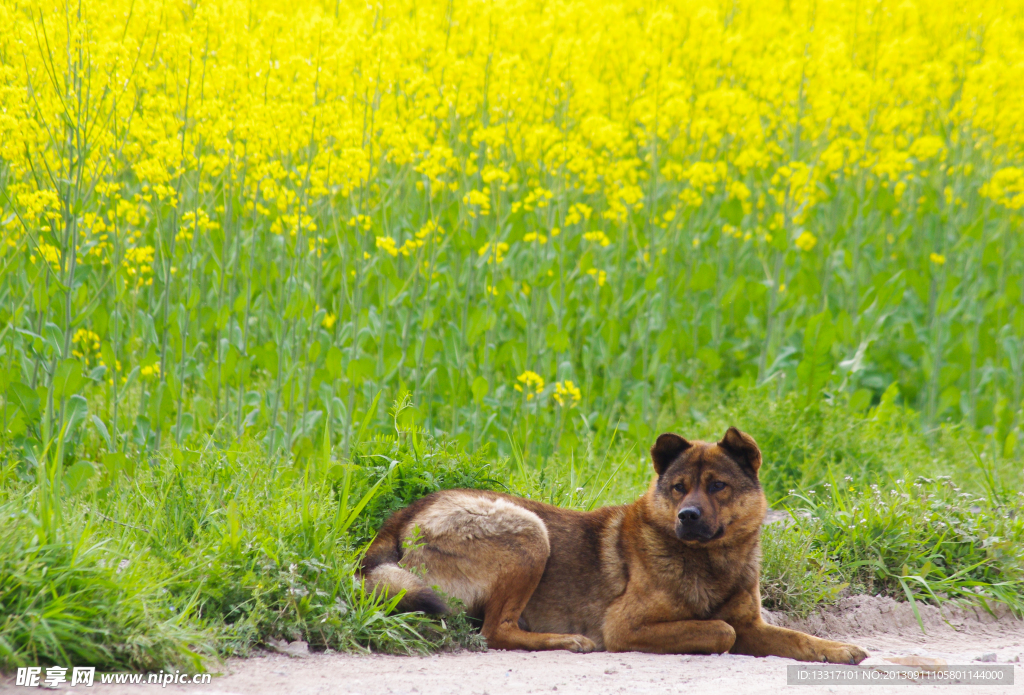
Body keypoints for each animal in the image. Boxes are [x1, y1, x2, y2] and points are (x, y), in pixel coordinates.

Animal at [358, 429, 864, 663]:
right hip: (530, 532)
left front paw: (838, 649)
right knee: (495, 632)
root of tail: (405, 514)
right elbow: (721, 630)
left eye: (717, 486)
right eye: (679, 488)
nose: (687, 517)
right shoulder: (626, 626)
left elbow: (795, 637)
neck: (711, 560)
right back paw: (565, 640)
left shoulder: (753, 623)